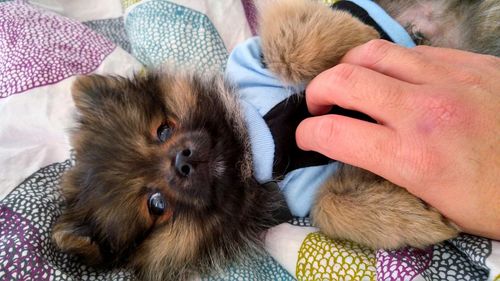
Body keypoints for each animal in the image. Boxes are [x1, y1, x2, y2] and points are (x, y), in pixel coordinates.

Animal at [51, 0, 496, 278]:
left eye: (163, 130)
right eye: (156, 205)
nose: (183, 160)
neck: (253, 143)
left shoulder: (257, 55)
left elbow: (288, 44)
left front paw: (362, 34)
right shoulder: (302, 192)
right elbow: (327, 206)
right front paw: (418, 215)